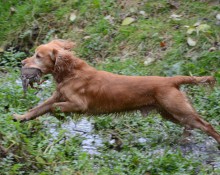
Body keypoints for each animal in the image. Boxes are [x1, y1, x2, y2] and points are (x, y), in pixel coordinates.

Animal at [13, 39, 220, 144]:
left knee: (207, 125)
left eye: (38, 56)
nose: (21, 63)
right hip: (170, 113)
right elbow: (37, 109)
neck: (72, 72)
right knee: (194, 125)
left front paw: (60, 116)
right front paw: (19, 117)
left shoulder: (79, 104)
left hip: (178, 110)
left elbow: (54, 107)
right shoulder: (58, 96)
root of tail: (171, 80)